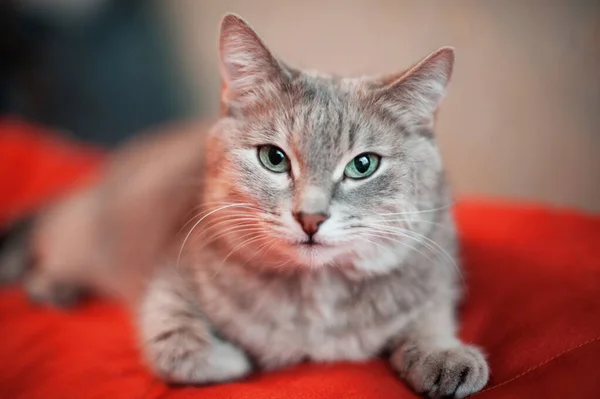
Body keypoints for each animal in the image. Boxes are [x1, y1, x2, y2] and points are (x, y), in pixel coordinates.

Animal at [0, 14, 488, 399]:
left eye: (363, 165)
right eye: (274, 158)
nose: (310, 218)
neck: (318, 294)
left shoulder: (434, 273)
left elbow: (430, 316)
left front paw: (445, 354)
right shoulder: (169, 279)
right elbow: (179, 346)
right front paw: (237, 359)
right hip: (85, 231)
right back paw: (53, 284)